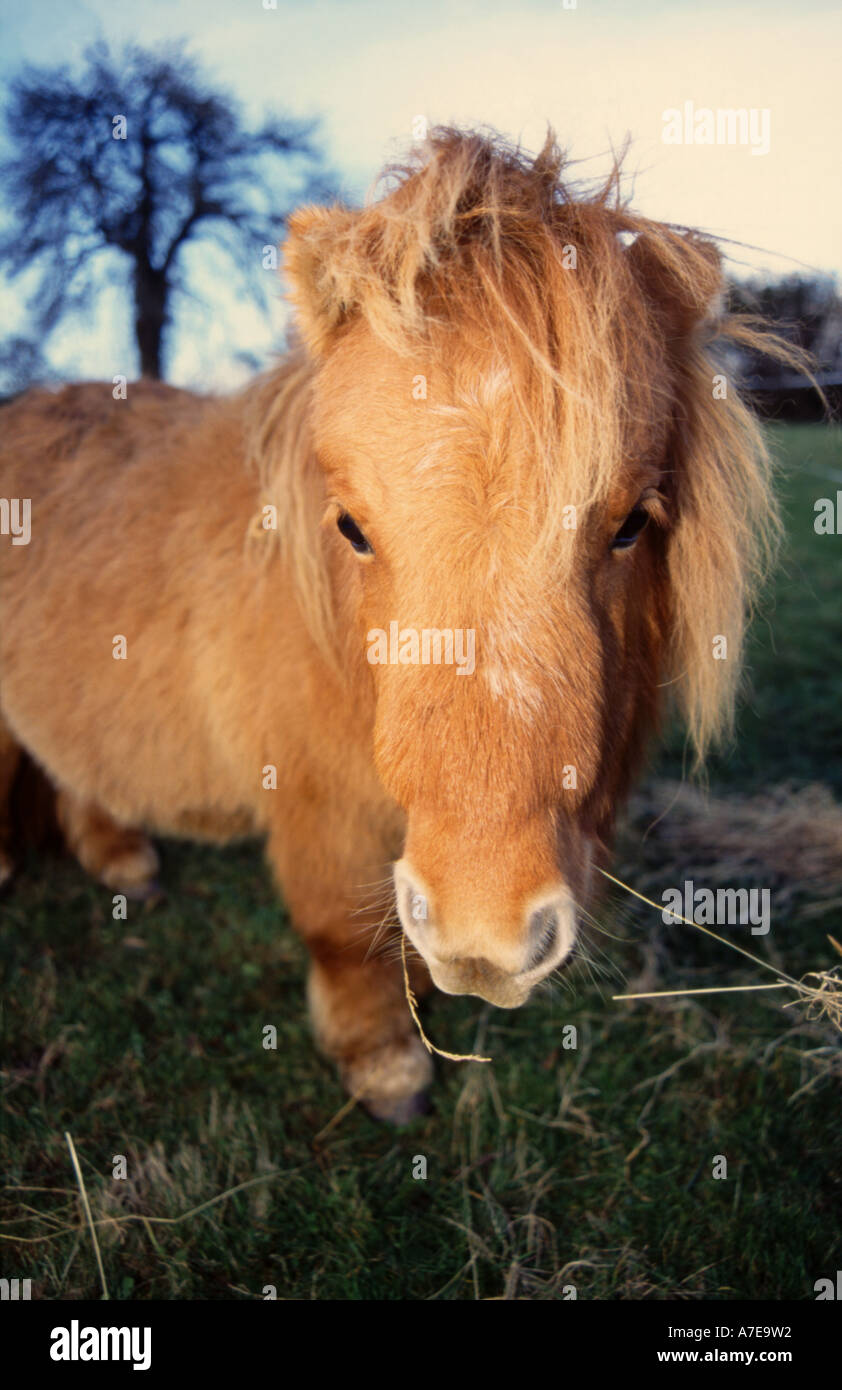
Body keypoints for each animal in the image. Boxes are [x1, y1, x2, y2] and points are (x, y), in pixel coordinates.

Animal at [0, 128, 782, 1122]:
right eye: (352, 528)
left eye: (632, 523)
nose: (488, 937)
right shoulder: (318, 812)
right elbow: (345, 934)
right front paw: (384, 1064)